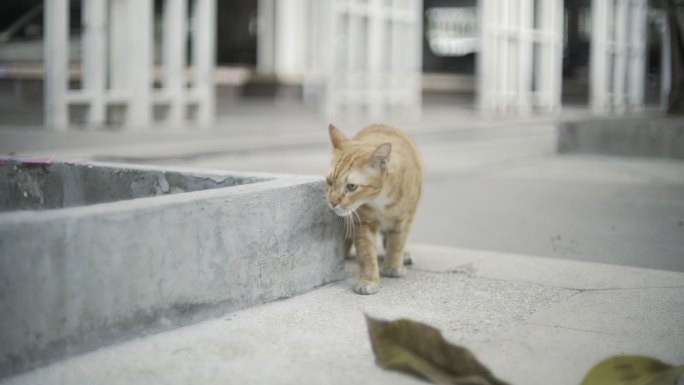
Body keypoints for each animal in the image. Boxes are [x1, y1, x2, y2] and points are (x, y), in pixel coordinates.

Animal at [326, 123, 422, 294]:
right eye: (330, 182)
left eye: (352, 186)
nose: (332, 202)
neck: (379, 201)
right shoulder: (363, 223)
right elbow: (367, 255)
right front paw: (369, 280)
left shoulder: (402, 220)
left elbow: (396, 243)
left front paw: (393, 266)